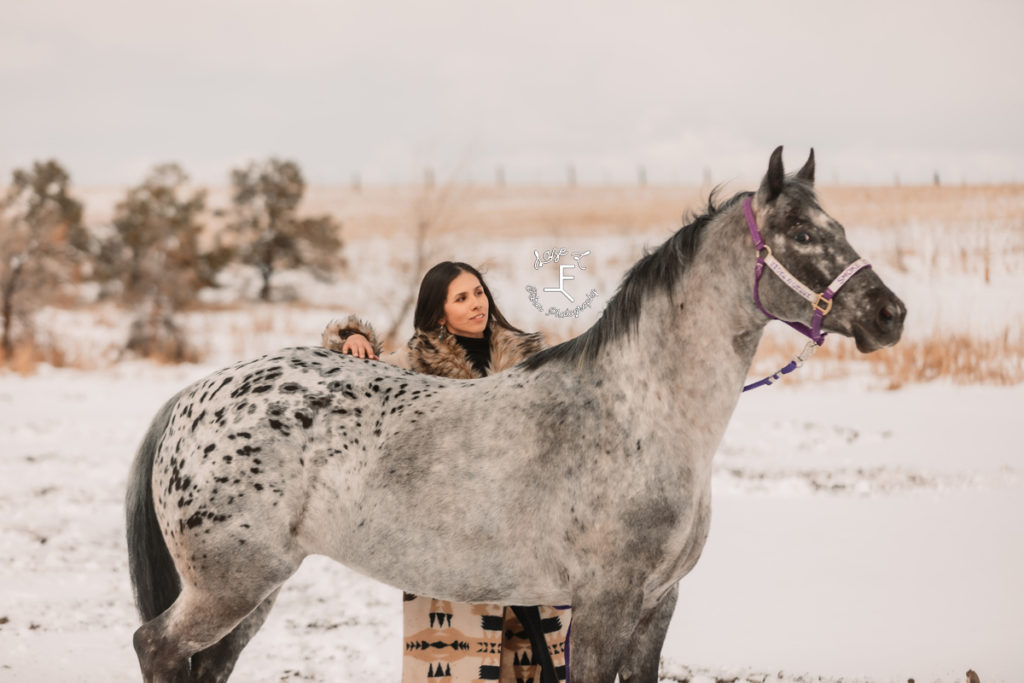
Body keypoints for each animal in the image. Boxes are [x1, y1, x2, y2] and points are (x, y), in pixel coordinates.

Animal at [125, 148, 905, 683]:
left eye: (835, 223)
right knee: (155, 647)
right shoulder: (605, 605)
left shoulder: (658, 605)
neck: (637, 413)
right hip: (228, 586)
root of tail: (190, 399)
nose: (890, 314)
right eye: (800, 230)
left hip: (253, 591)